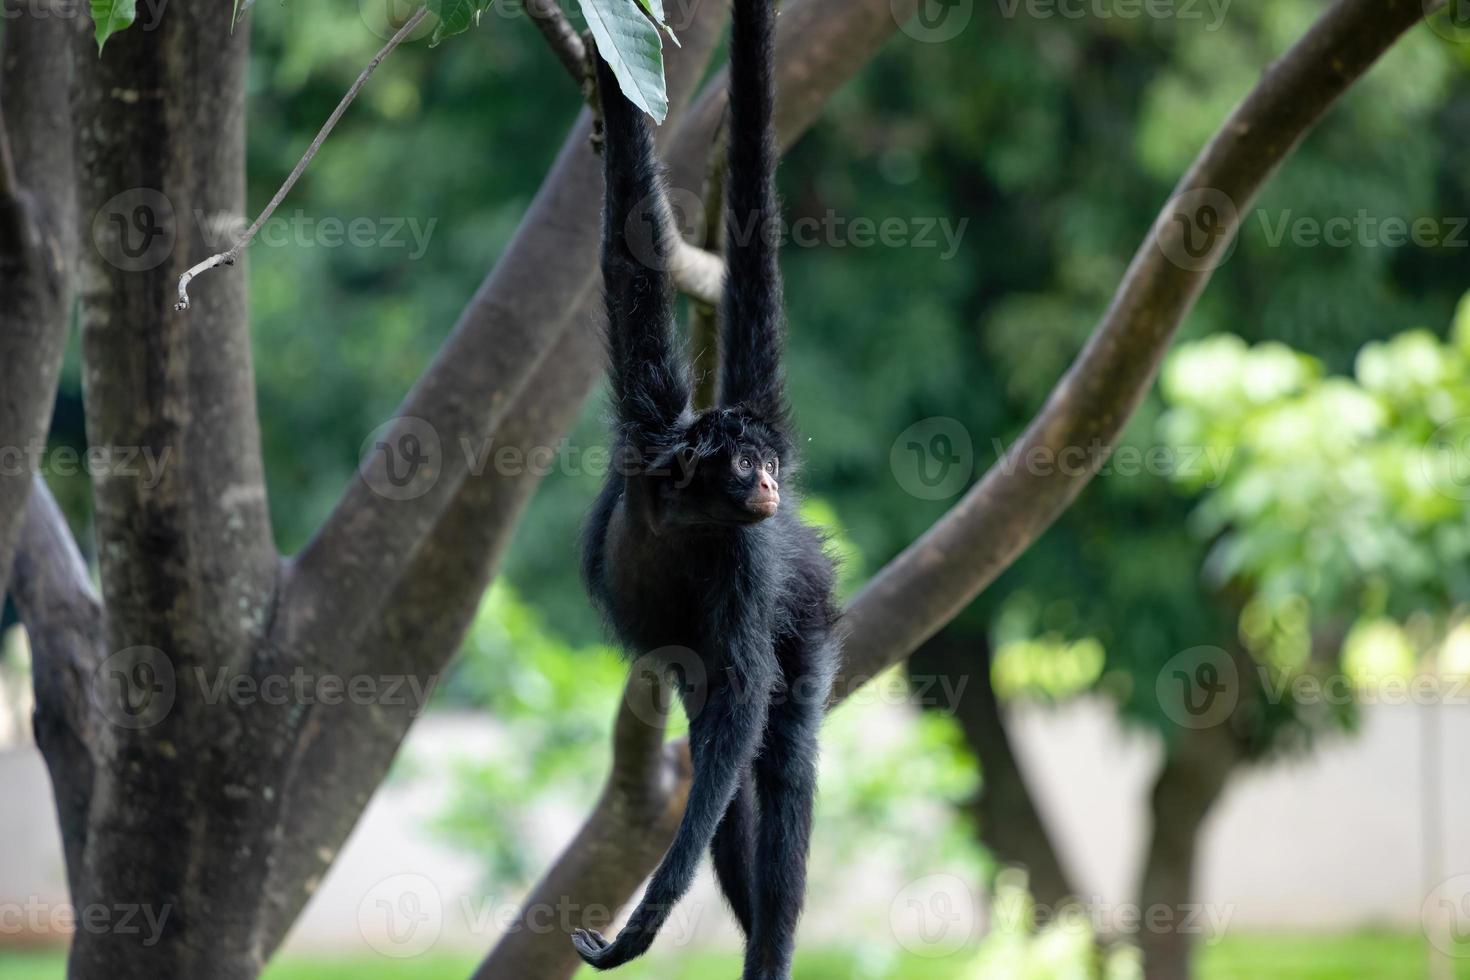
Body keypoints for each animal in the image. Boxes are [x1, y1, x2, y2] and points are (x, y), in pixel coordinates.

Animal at [573, 1, 846, 980]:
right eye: (741, 465)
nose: (766, 480)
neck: (681, 512)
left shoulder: (747, 557)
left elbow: (743, 701)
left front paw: (647, 917)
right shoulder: (649, 428)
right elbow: (629, 244)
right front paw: (614, 84)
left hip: (813, 613)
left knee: (781, 757)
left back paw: (773, 942)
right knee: (721, 776)